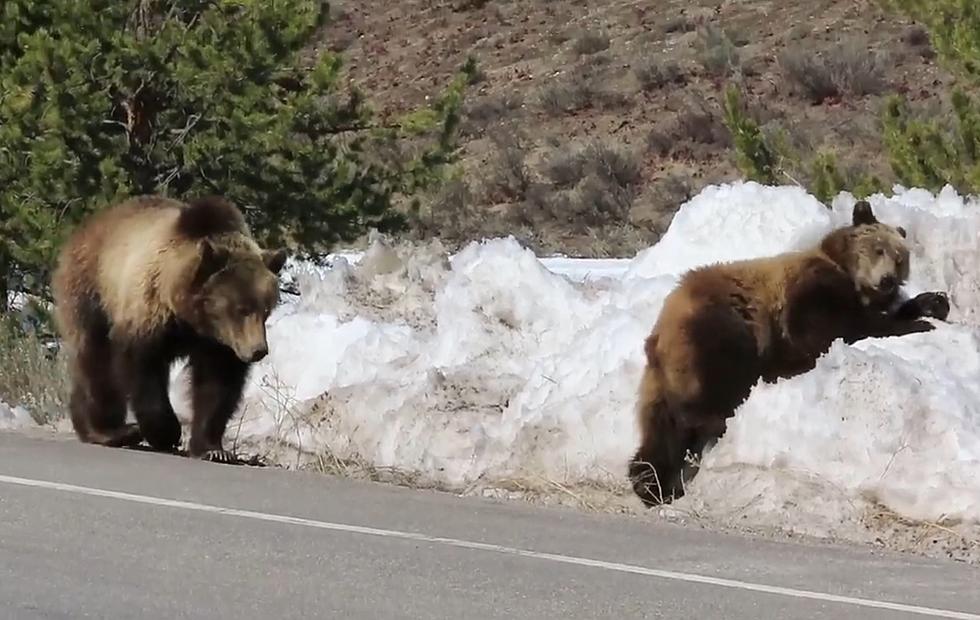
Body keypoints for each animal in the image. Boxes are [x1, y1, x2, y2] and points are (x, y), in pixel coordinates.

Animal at [50, 196, 288, 462]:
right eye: (241, 309)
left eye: (266, 309)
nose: (258, 350)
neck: (191, 317)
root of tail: (84, 228)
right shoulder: (149, 314)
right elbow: (142, 369)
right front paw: (166, 432)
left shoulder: (218, 344)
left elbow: (217, 385)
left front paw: (213, 448)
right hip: (91, 292)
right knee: (97, 361)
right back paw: (111, 431)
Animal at [628, 201, 948, 506]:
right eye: (878, 248)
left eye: (900, 258)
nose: (887, 280)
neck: (848, 275)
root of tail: (658, 337)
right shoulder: (812, 294)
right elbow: (840, 328)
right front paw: (918, 322)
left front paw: (933, 302)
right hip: (719, 333)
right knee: (707, 397)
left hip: (659, 384)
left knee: (659, 436)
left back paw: (651, 483)